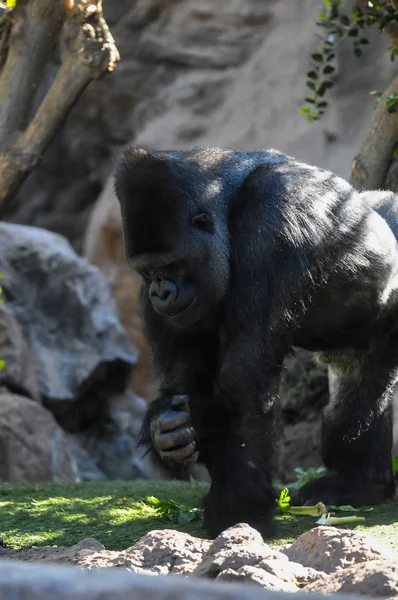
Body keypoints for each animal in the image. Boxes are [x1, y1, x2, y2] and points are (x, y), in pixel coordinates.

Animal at [113, 146, 396, 540]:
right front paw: (166, 429)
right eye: (149, 271)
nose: (162, 292)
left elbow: (243, 380)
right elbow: (184, 382)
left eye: (172, 266)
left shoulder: (272, 221)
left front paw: (239, 512)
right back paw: (360, 483)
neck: (226, 203)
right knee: (357, 385)